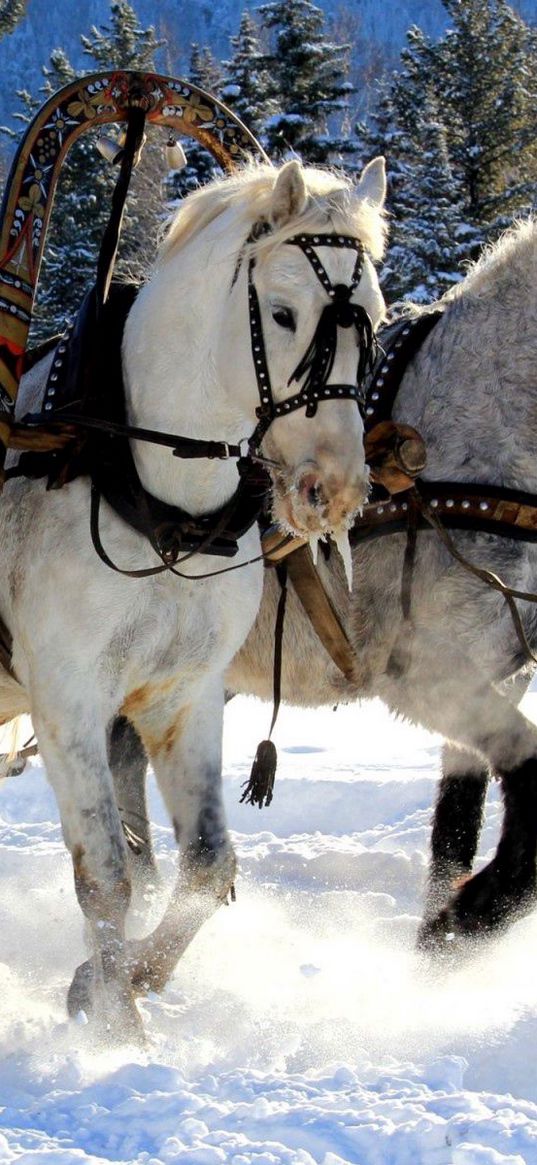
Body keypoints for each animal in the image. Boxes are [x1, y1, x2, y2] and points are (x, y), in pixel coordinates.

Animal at [0, 157, 386, 1039]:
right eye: (282, 313)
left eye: (374, 323)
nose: (335, 488)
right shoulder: (67, 700)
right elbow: (106, 876)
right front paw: (114, 1025)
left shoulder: (184, 695)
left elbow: (208, 866)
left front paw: (121, 978)